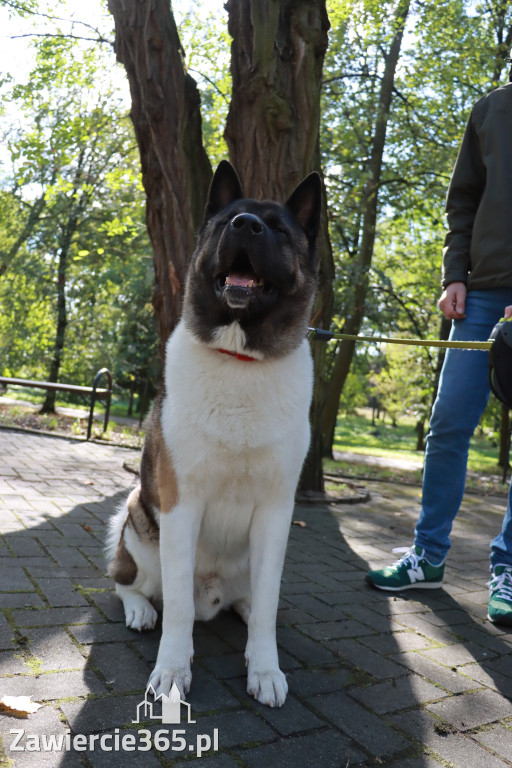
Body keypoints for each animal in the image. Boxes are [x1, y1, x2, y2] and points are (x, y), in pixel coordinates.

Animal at [106, 162, 322, 708]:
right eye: (229, 219)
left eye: (279, 229)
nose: (246, 225)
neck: (239, 357)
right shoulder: (181, 504)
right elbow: (178, 609)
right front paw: (171, 670)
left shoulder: (276, 512)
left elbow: (267, 605)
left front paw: (264, 667)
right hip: (139, 517)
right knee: (127, 583)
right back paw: (140, 609)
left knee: (252, 601)